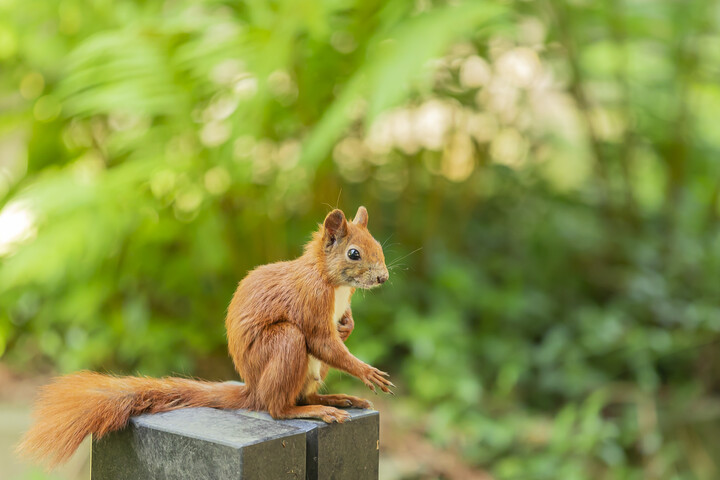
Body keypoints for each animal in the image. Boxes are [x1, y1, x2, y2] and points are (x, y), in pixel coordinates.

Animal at [16, 207, 394, 468]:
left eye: (378, 245)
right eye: (354, 253)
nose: (383, 279)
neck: (334, 284)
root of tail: (252, 389)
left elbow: (338, 334)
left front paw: (347, 326)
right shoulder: (309, 301)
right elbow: (322, 342)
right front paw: (367, 371)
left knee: (302, 395)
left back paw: (336, 399)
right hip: (284, 345)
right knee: (278, 407)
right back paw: (314, 409)